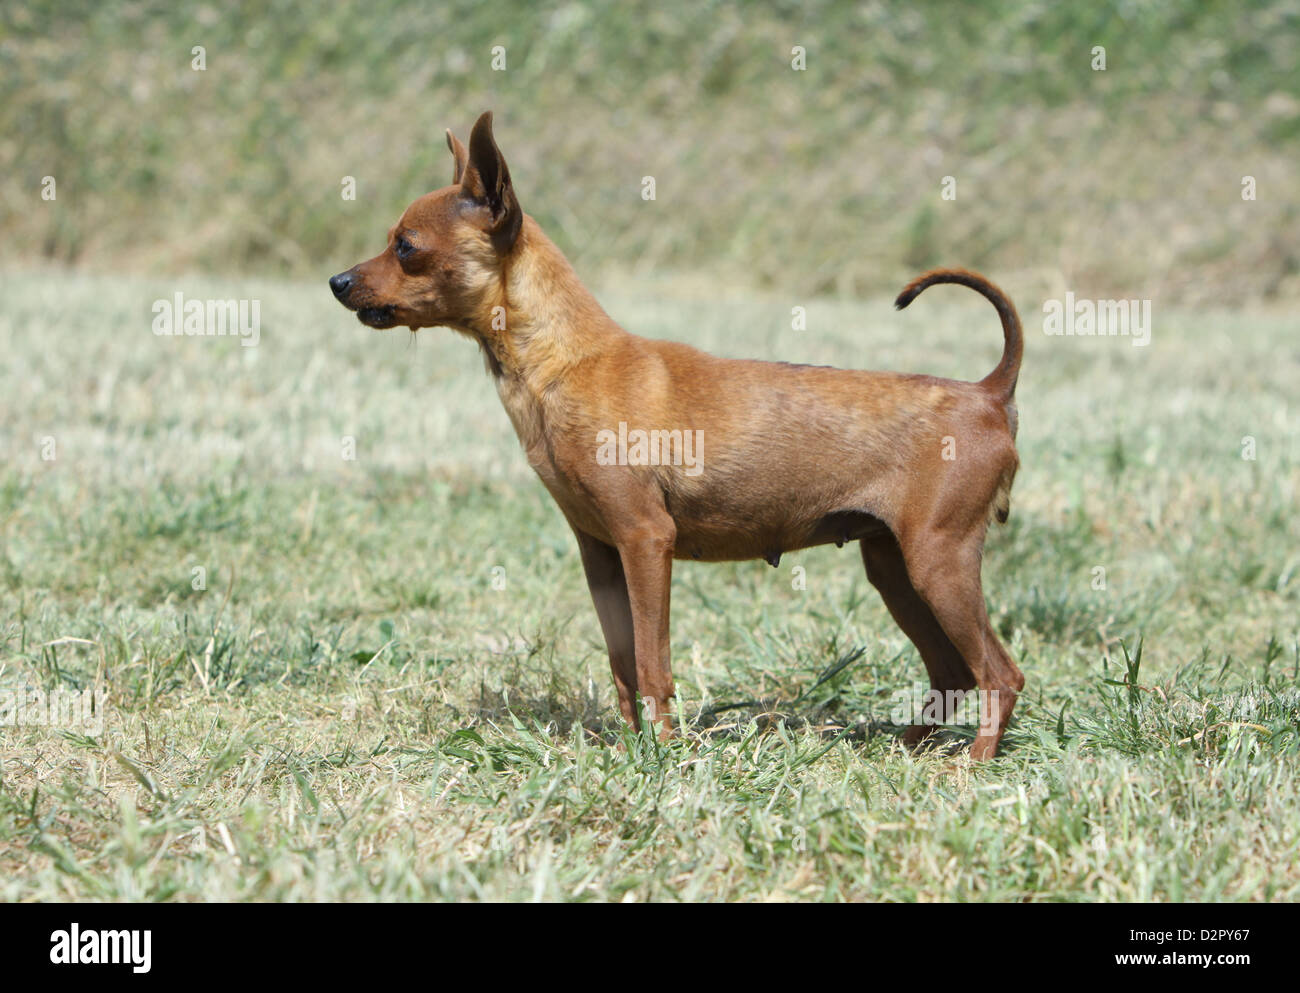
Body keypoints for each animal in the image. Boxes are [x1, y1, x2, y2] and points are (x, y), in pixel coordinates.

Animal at [332, 110, 1024, 759]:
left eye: (406, 247)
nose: (338, 282)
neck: (565, 363)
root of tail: (987, 392)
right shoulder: (601, 555)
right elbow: (623, 666)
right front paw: (630, 747)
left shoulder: (645, 541)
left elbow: (652, 663)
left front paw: (663, 755)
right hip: (895, 568)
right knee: (953, 671)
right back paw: (909, 750)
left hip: (937, 562)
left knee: (1000, 673)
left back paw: (972, 763)